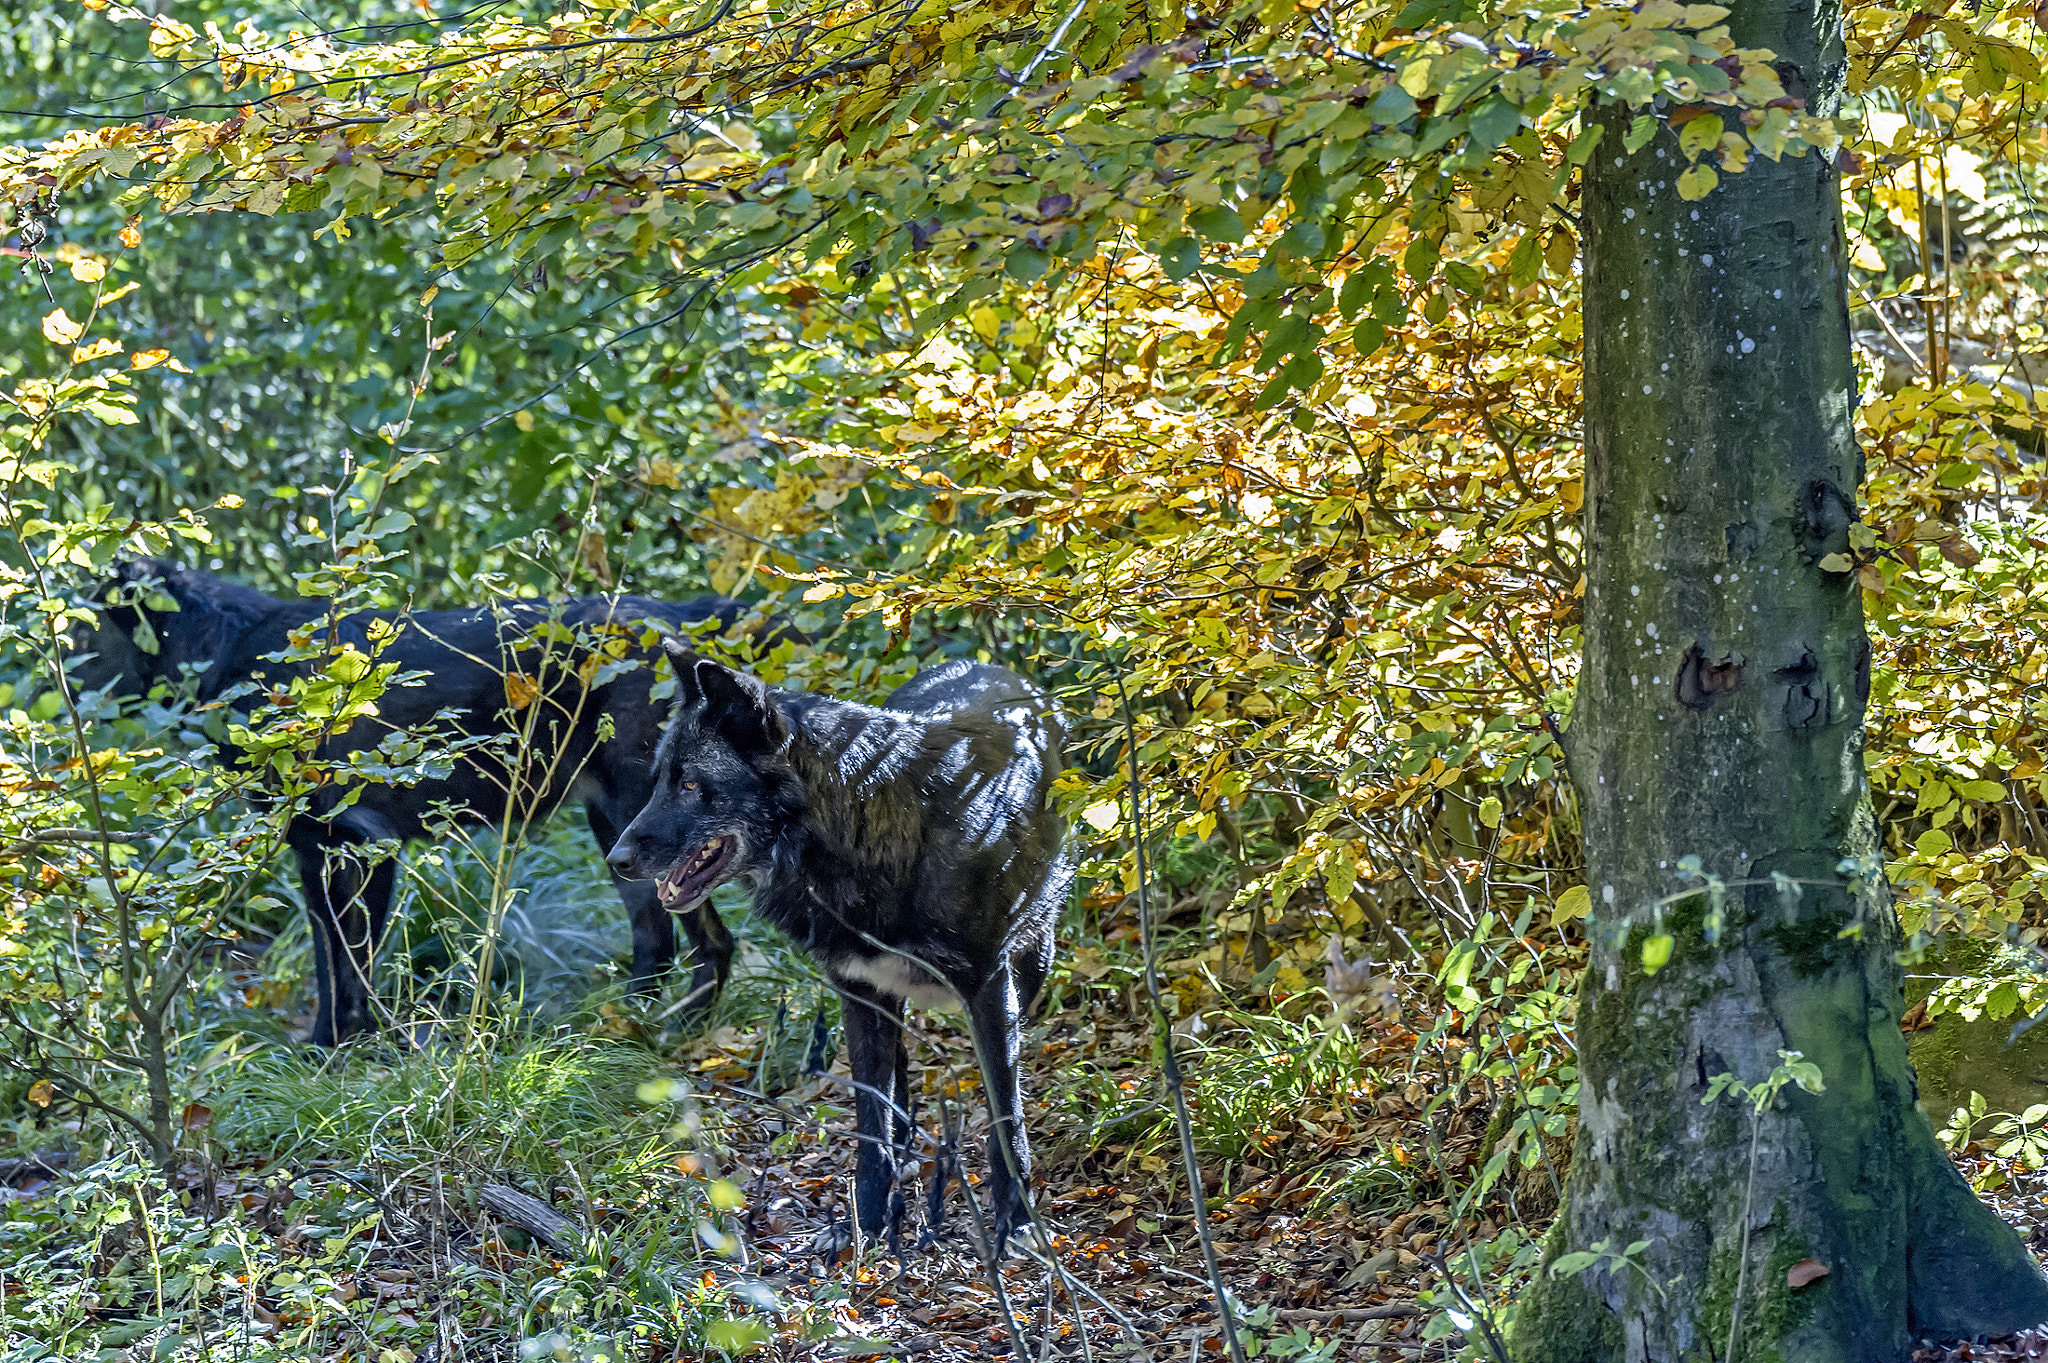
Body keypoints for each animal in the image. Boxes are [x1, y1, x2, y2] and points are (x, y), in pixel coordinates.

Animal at [67, 559, 773, 1045]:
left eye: (83, 634)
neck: (231, 651)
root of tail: (682, 617)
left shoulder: (364, 842)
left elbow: (351, 964)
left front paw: (335, 1052)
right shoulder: (318, 851)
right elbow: (335, 963)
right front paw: (339, 1048)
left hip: (639, 821)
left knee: (695, 942)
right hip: (617, 828)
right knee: (680, 943)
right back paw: (639, 1033)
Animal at [606, 647, 1072, 1247]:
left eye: (689, 785)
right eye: (661, 779)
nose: (615, 860)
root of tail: (984, 663)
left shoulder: (991, 990)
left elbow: (1005, 1115)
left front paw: (1016, 1220)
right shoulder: (857, 986)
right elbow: (872, 1117)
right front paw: (866, 1223)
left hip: (1034, 962)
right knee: (896, 1073)